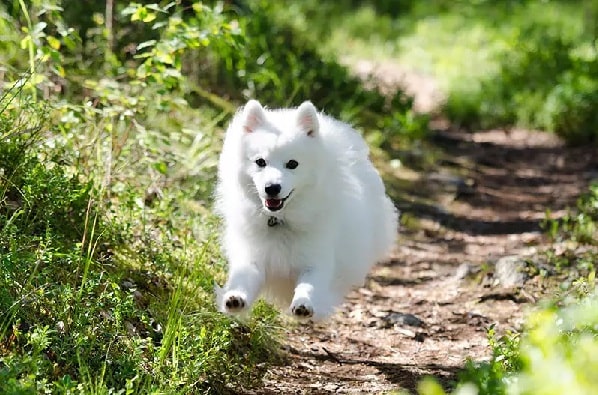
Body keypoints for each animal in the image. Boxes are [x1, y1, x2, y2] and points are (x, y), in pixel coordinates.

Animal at [214, 99, 398, 322]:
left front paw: (303, 304)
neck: (280, 221)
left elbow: (309, 285)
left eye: (292, 164)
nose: (272, 188)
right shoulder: (252, 257)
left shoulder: (316, 260)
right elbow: (243, 279)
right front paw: (234, 298)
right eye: (260, 162)